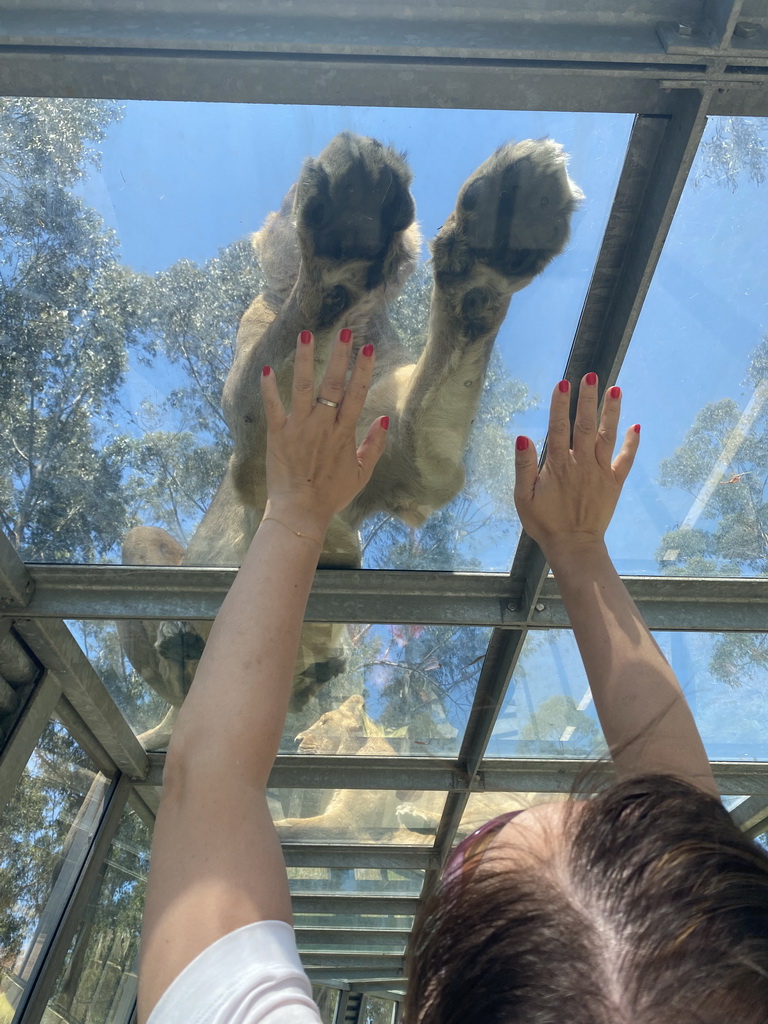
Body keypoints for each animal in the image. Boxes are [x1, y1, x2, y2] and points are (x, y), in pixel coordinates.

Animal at [120, 132, 581, 749]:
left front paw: (500, 228)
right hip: (145, 544)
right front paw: (349, 224)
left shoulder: (405, 456)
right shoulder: (255, 412)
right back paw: (182, 636)